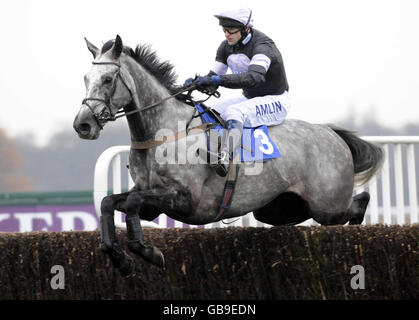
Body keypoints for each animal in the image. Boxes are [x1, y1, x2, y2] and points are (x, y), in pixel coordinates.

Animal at [73, 34, 384, 276]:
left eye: (108, 79)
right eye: (85, 78)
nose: (82, 125)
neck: (163, 134)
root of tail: (332, 133)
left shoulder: (185, 198)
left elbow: (132, 203)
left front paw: (148, 252)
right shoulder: (151, 199)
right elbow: (109, 203)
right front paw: (122, 260)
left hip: (326, 205)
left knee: (357, 202)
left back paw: (357, 233)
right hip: (278, 208)